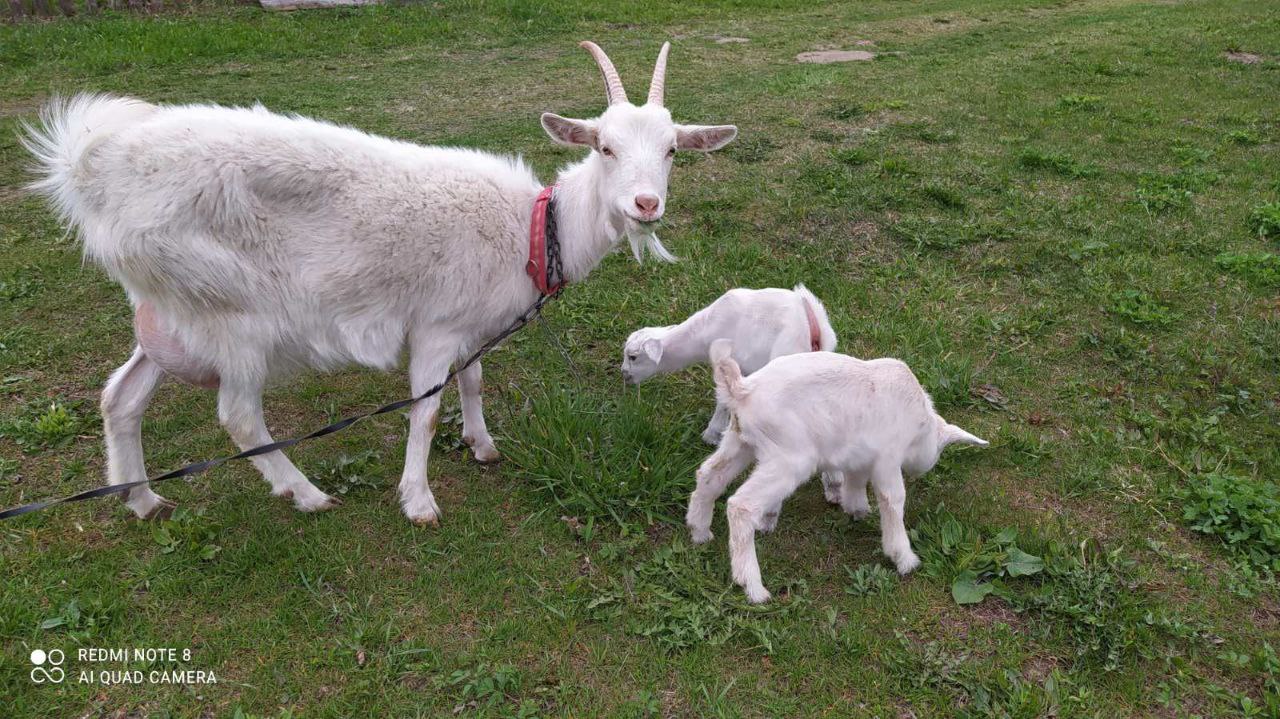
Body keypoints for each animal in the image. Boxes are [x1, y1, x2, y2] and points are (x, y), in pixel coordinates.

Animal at [22, 40, 732, 519]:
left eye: (672, 150)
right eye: (604, 147)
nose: (646, 205)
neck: (532, 228)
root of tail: (95, 170)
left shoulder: (470, 323)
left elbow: (473, 382)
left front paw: (482, 445)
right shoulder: (437, 327)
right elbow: (426, 410)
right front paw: (418, 500)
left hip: (170, 309)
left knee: (121, 397)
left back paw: (143, 498)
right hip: (232, 313)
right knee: (240, 418)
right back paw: (306, 493)